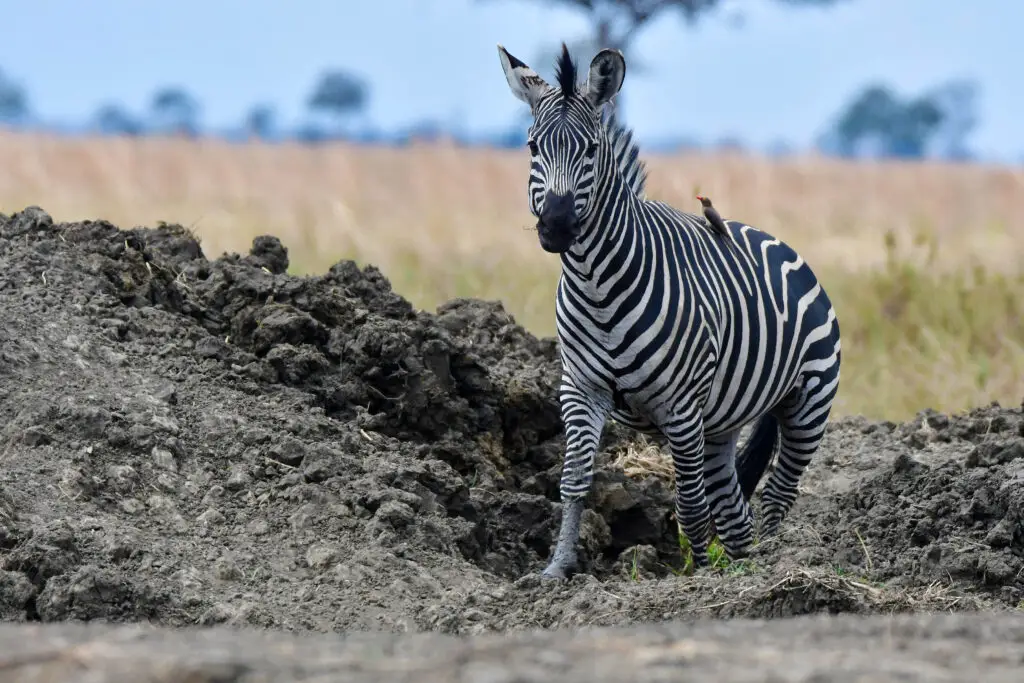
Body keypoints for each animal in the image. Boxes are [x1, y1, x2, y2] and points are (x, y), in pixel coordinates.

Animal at [496, 43, 842, 579]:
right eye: (533, 148)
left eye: (591, 151)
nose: (555, 227)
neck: (596, 285)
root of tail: (775, 241)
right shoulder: (580, 389)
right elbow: (574, 481)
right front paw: (557, 570)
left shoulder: (679, 405)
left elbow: (689, 501)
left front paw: (693, 575)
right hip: (721, 421)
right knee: (732, 504)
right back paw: (741, 566)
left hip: (809, 402)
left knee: (777, 494)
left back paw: (775, 565)